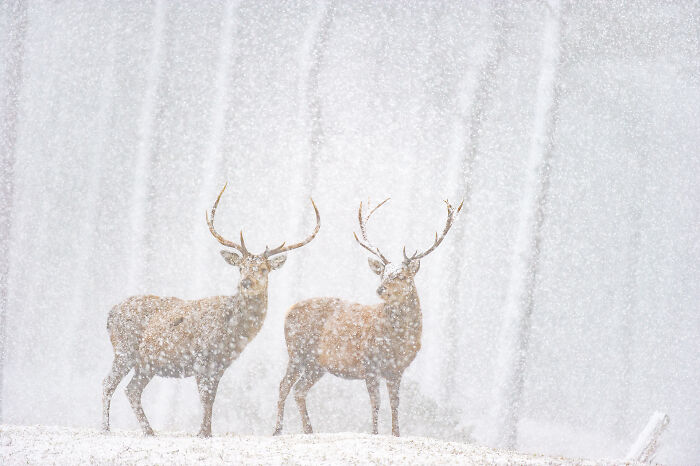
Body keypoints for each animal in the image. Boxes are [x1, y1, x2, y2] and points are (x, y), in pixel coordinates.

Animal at [102, 184, 320, 437]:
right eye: (241, 267)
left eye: (264, 269)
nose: (246, 282)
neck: (231, 334)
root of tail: (109, 314)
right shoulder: (201, 358)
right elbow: (205, 399)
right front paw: (203, 433)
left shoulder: (220, 365)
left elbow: (212, 399)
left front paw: (207, 431)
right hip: (125, 350)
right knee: (109, 384)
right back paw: (106, 429)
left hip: (146, 363)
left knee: (132, 389)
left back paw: (149, 432)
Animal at [273, 197, 462, 437]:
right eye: (383, 274)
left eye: (402, 276)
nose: (380, 289)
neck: (397, 340)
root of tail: (288, 310)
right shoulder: (370, 363)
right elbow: (376, 402)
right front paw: (374, 433)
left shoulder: (396, 370)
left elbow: (395, 404)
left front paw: (396, 435)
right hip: (297, 351)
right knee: (284, 385)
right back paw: (277, 430)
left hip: (318, 364)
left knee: (299, 389)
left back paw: (309, 430)